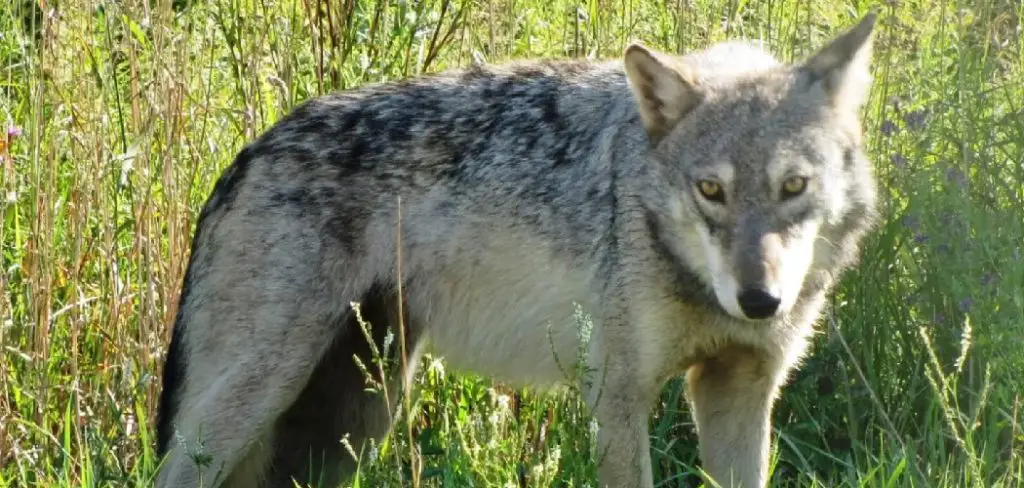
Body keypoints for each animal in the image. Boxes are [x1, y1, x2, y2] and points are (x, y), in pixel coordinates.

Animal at [154, 12, 879, 488]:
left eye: (794, 187)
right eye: (711, 191)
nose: (760, 301)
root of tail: (247, 154)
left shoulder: (741, 388)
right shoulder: (616, 396)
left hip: (354, 421)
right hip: (257, 398)